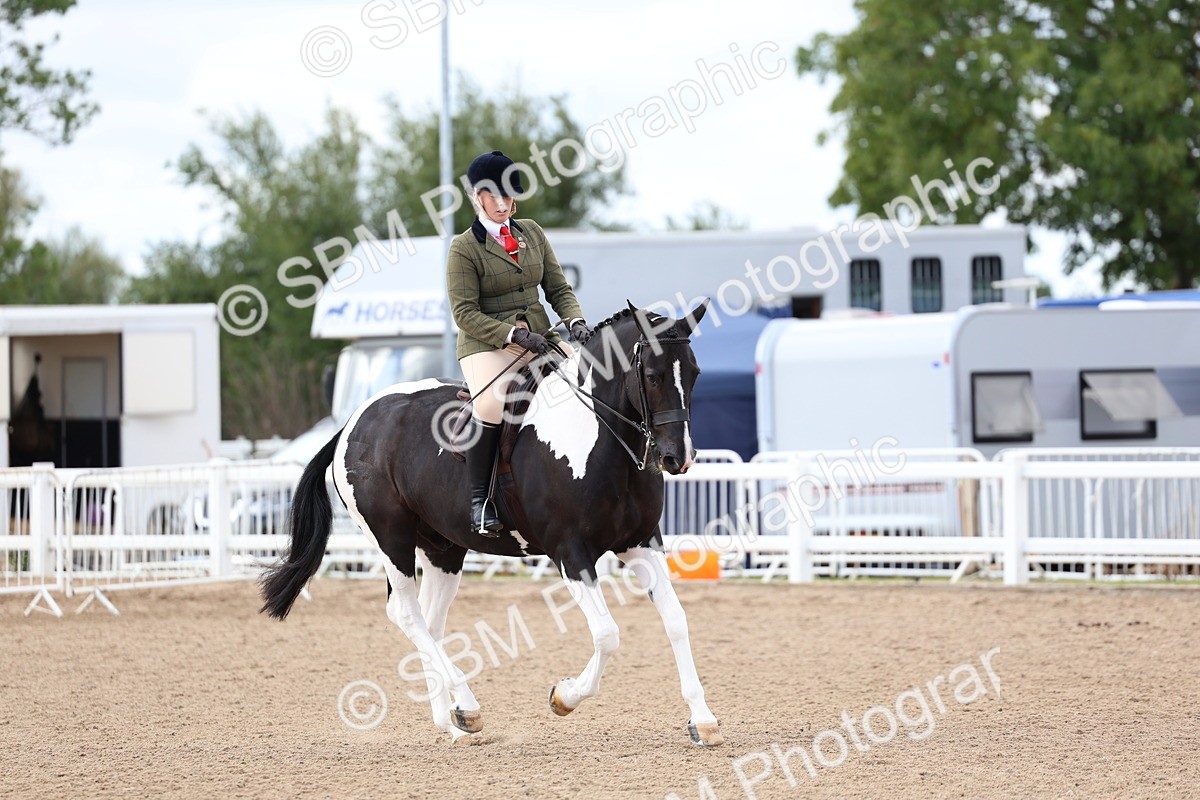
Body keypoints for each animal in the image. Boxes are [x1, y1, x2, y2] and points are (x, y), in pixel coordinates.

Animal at [259, 300, 722, 746]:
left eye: (695, 373)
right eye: (653, 375)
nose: (676, 458)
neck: (595, 436)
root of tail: (353, 423)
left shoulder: (641, 542)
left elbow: (676, 620)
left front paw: (703, 720)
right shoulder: (571, 553)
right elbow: (607, 633)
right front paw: (564, 697)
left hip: (443, 548)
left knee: (429, 619)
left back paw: (450, 722)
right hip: (391, 537)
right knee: (406, 613)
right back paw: (467, 706)